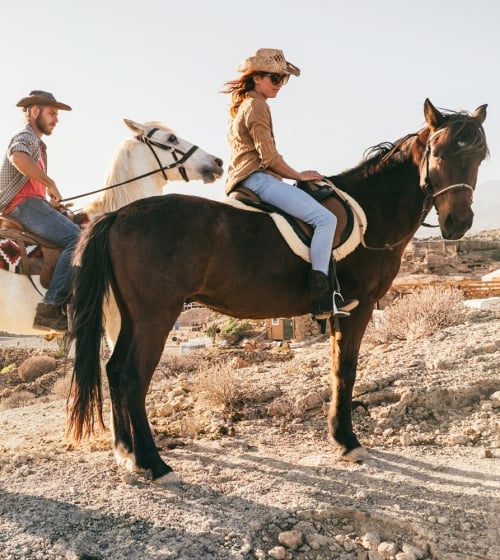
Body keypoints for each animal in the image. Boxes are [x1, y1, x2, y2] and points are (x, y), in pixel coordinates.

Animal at [67, 98, 488, 484]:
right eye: (439, 152)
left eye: (480, 156)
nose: (458, 222)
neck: (370, 209)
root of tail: (118, 215)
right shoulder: (361, 305)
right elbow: (347, 370)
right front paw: (349, 442)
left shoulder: (341, 310)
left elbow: (337, 369)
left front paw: (339, 437)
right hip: (156, 316)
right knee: (132, 377)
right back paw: (154, 464)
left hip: (131, 316)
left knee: (114, 370)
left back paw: (128, 454)